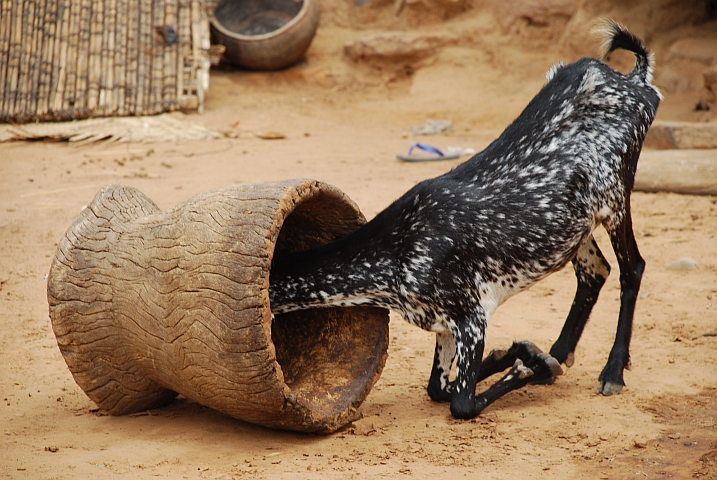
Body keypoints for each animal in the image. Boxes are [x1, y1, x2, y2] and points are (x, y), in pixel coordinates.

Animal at [269, 20, 661, 420]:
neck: (398, 251)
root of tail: (635, 81)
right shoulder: (443, 323)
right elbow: (438, 388)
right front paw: (524, 355)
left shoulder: (472, 316)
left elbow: (461, 403)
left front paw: (526, 367)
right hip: (575, 228)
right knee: (595, 272)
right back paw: (558, 354)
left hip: (615, 195)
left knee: (633, 268)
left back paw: (612, 372)